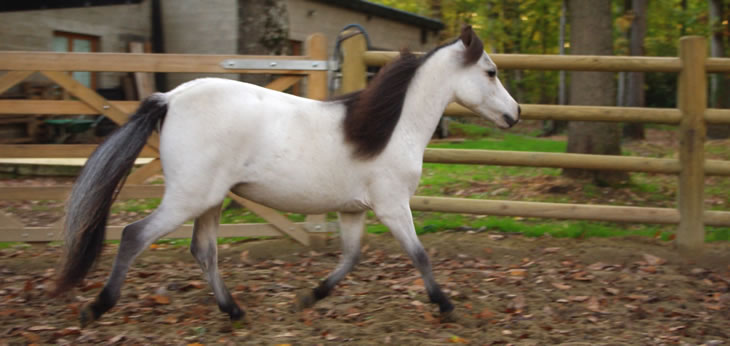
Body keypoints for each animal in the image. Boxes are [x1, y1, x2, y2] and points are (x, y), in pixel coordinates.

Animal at [55, 25, 516, 326]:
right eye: (491, 72)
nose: (514, 114)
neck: (391, 128)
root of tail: (170, 98)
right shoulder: (392, 206)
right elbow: (420, 255)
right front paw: (447, 306)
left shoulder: (354, 211)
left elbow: (351, 258)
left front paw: (308, 297)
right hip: (188, 198)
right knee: (134, 235)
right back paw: (96, 308)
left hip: (210, 200)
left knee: (204, 252)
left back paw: (234, 311)